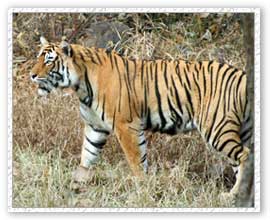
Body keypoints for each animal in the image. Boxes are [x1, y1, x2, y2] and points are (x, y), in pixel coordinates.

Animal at [30, 37, 252, 197]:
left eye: (49, 60)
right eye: (38, 57)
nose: (31, 75)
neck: (81, 85)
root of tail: (242, 75)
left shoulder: (126, 125)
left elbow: (136, 160)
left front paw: (142, 187)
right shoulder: (95, 127)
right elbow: (87, 156)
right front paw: (77, 183)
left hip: (217, 128)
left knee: (245, 155)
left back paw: (232, 195)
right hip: (241, 129)